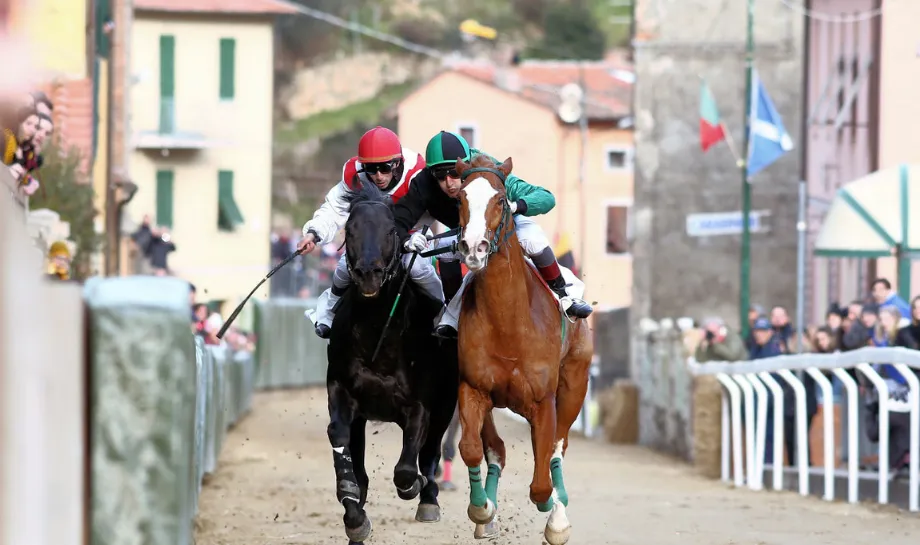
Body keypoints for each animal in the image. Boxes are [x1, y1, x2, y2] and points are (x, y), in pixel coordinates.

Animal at [328, 181, 460, 540]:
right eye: (350, 229)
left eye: (391, 231)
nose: (368, 274)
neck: (378, 334)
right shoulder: (343, 393)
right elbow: (342, 445)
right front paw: (354, 516)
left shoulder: (421, 405)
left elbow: (406, 470)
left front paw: (416, 486)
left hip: (446, 404)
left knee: (430, 452)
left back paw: (429, 498)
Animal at [454, 154, 596, 544]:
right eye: (460, 199)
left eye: (501, 199)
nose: (474, 247)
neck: (508, 321)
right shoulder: (473, 387)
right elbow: (471, 449)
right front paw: (482, 510)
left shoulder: (543, 401)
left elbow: (541, 485)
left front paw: (555, 516)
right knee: (497, 449)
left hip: (575, 385)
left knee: (557, 450)